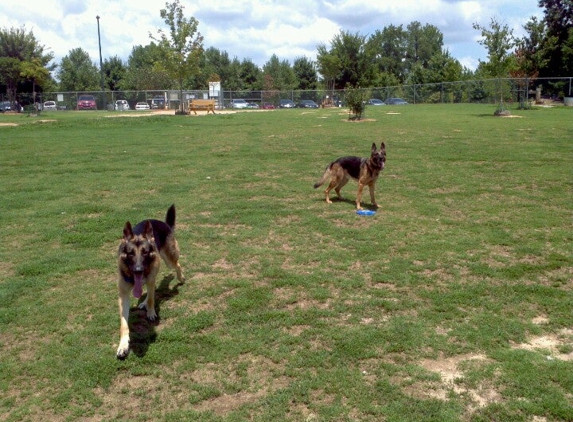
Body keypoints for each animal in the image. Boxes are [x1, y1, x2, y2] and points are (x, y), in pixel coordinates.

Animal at [116, 204, 185, 360]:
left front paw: (151, 312)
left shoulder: (150, 277)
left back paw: (181, 278)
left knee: (177, 265)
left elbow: (152, 298)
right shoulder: (123, 296)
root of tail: (164, 223)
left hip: (168, 260)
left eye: (145, 252)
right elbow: (124, 324)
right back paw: (143, 303)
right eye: (130, 253)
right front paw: (123, 345)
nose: (138, 270)